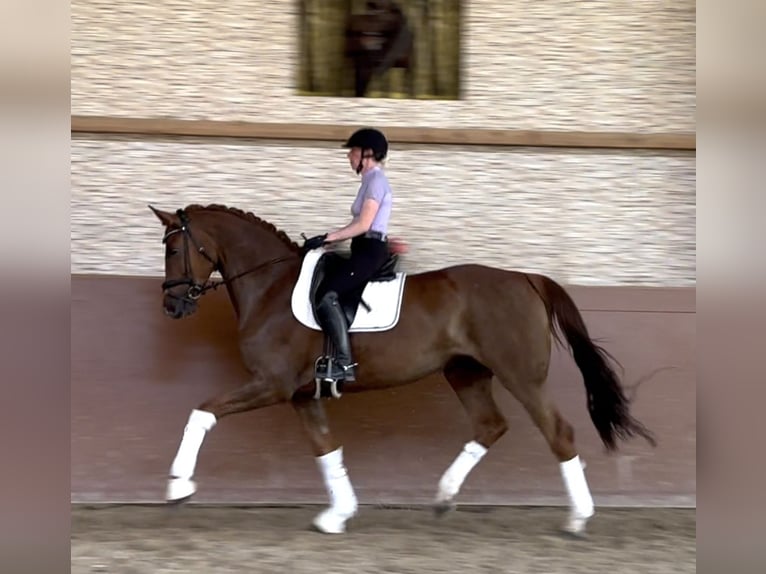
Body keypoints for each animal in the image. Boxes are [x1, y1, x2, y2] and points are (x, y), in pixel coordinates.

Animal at [149, 203, 656, 536]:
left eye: (173, 250)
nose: (172, 305)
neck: (270, 286)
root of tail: (526, 278)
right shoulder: (302, 395)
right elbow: (327, 449)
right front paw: (338, 515)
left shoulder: (270, 385)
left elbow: (202, 412)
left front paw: (178, 486)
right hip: (465, 372)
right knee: (490, 426)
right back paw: (444, 497)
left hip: (521, 376)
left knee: (559, 433)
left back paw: (577, 518)